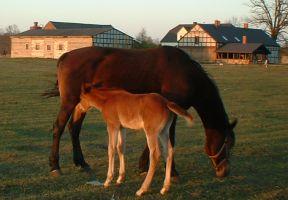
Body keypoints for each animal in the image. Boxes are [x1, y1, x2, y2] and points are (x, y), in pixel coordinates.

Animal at [45, 46, 236, 179]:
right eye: (227, 142)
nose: (224, 171)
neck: (185, 73)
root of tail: (66, 56)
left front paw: (143, 166)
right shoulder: (172, 111)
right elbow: (169, 139)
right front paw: (171, 172)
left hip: (82, 104)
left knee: (74, 129)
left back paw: (81, 163)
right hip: (69, 102)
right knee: (58, 128)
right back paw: (55, 166)